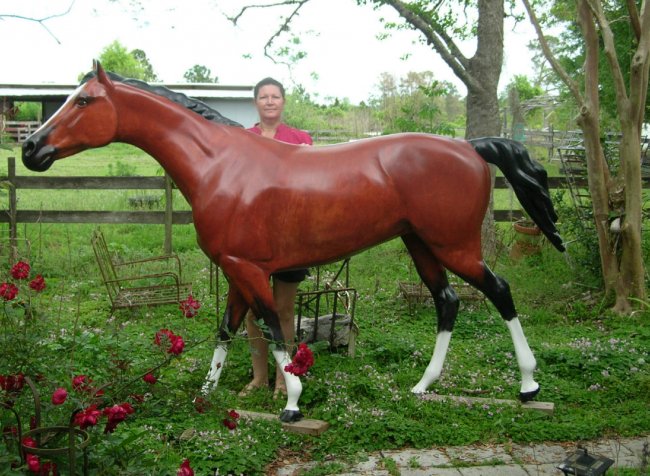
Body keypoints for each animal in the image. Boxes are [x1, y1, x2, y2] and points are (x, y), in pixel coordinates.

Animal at [22, 61, 564, 423]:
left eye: (84, 100)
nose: (31, 148)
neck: (220, 165)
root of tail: (469, 147)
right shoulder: (235, 268)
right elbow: (228, 330)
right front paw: (207, 393)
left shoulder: (248, 269)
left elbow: (274, 329)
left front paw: (291, 402)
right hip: (421, 246)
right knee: (447, 301)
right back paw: (423, 385)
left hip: (455, 247)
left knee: (499, 291)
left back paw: (528, 385)